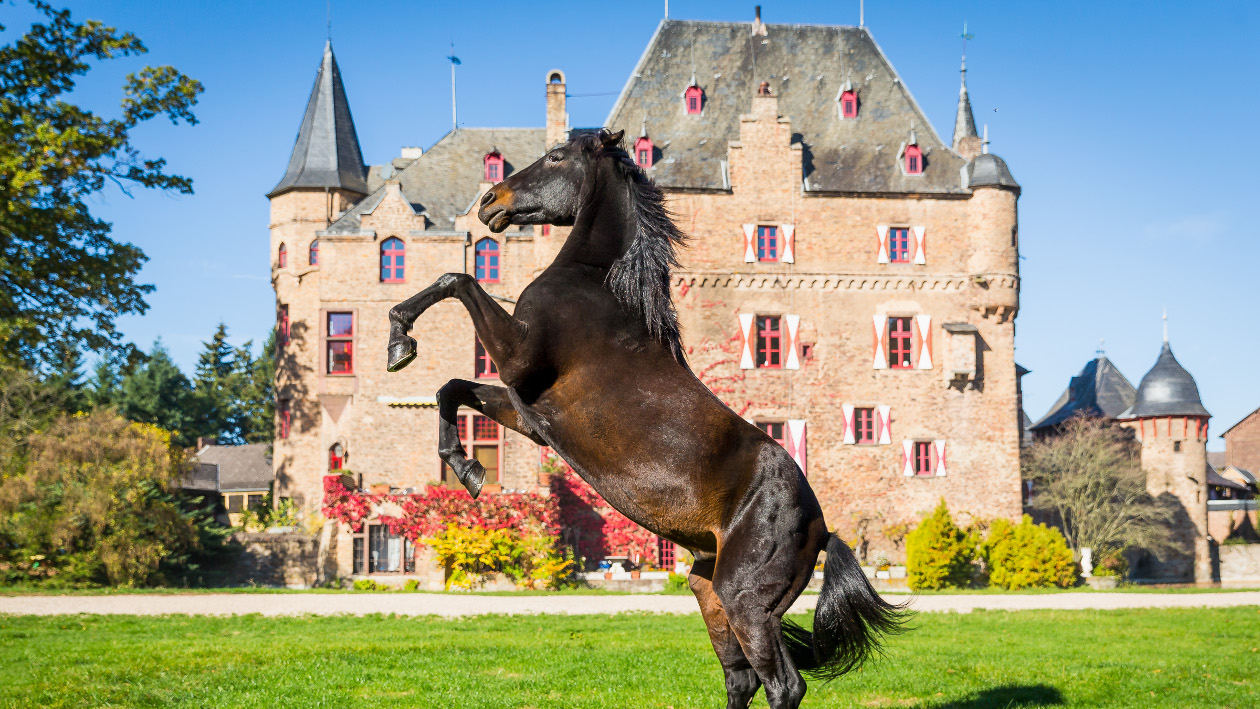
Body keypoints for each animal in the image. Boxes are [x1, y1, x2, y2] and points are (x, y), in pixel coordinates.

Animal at [385, 129, 907, 709]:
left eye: (555, 157)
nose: (489, 202)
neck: (597, 283)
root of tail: (822, 528)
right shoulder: (529, 415)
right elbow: (451, 387)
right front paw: (467, 467)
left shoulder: (518, 359)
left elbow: (456, 278)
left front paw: (399, 337)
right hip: (709, 590)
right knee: (741, 678)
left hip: (745, 600)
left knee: (783, 685)